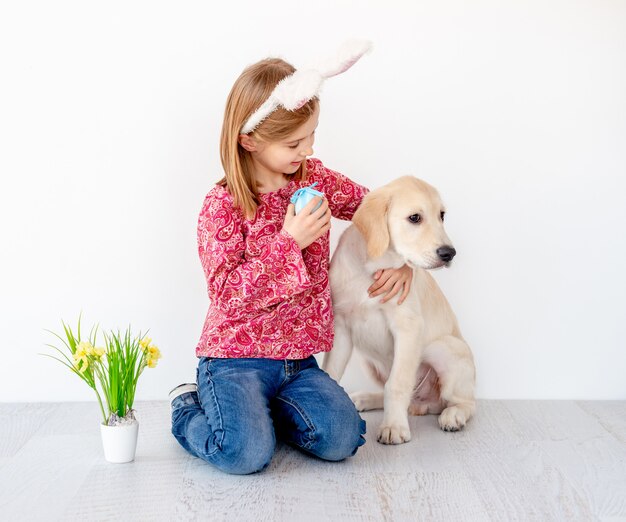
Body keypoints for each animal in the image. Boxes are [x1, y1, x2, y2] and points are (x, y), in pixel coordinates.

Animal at [324, 176, 476, 442]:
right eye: (415, 217)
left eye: (442, 215)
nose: (449, 253)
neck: (373, 268)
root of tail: (423, 404)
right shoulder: (341, 327)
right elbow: (331, 373)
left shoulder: (408, 327)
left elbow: (397, 383)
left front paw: (394, 426)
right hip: (368, 361)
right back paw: (364, 398)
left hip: (444, 349)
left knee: (465, 403)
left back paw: (454, 415)